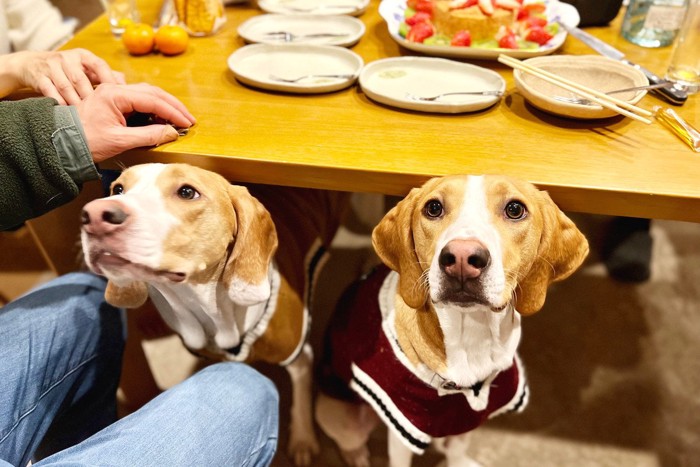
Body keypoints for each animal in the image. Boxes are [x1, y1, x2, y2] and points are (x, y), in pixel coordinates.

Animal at [80, 163, 348, 466]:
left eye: (187, 192)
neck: (210, 313)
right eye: (117, 189)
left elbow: (301, 403)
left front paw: (303, 440)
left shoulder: (299, 357)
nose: (94, 216)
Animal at [314, 175, 588, 467]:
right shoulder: (403, 431)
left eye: (515, 209)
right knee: (350, 441)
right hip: (338, 415)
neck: (471, 336)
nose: (462, 258)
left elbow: (457, 450)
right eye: (433, 208)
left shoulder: (465, 418)